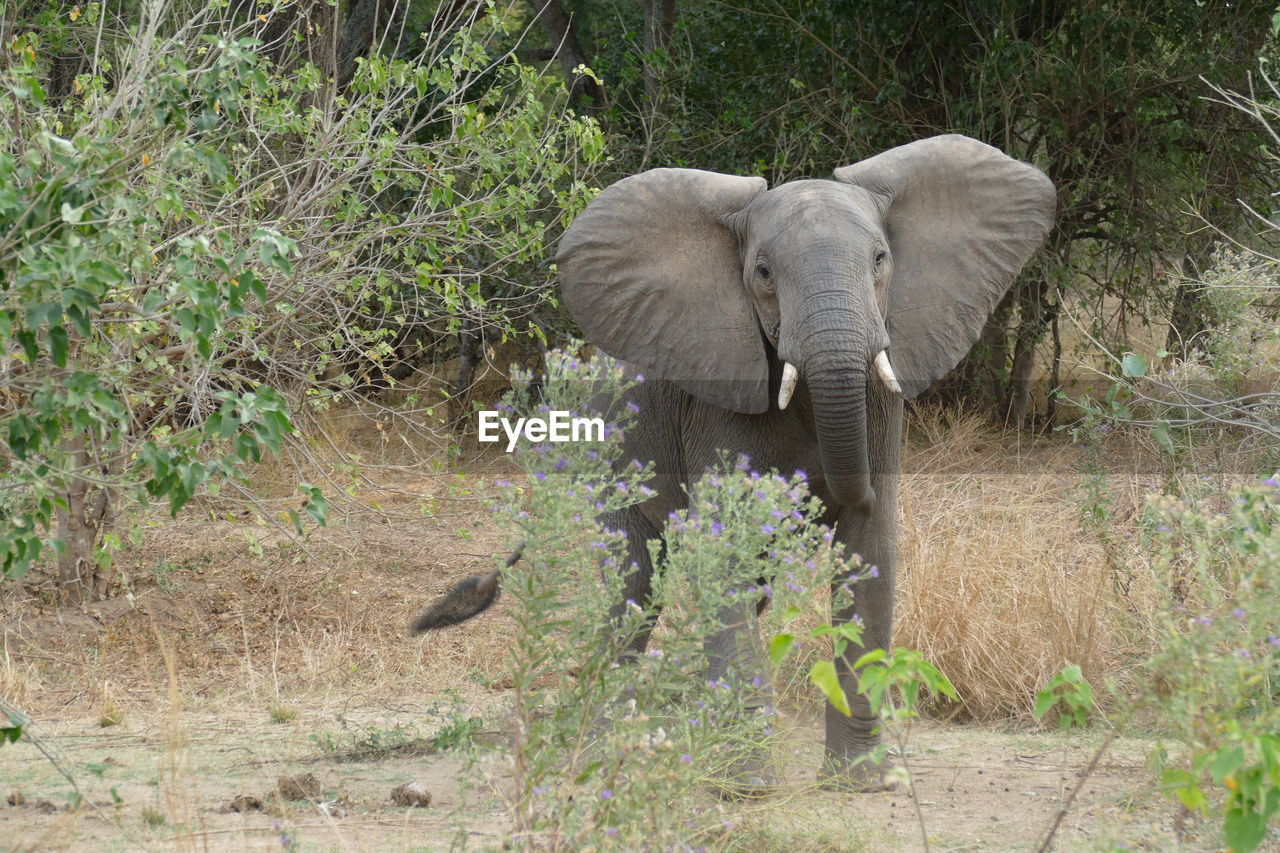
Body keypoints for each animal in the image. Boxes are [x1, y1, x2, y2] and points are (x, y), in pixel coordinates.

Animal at [414, 133, 1054, 788]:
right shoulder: (716, 401)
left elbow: (870, 551)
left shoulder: (884, 390)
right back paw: (598, 750)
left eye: (881, 260)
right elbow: (728, 546)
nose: (817, 494)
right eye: (762, 274)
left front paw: (859, 781)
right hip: (609, 457)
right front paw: (748, 786)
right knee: (634, 586)